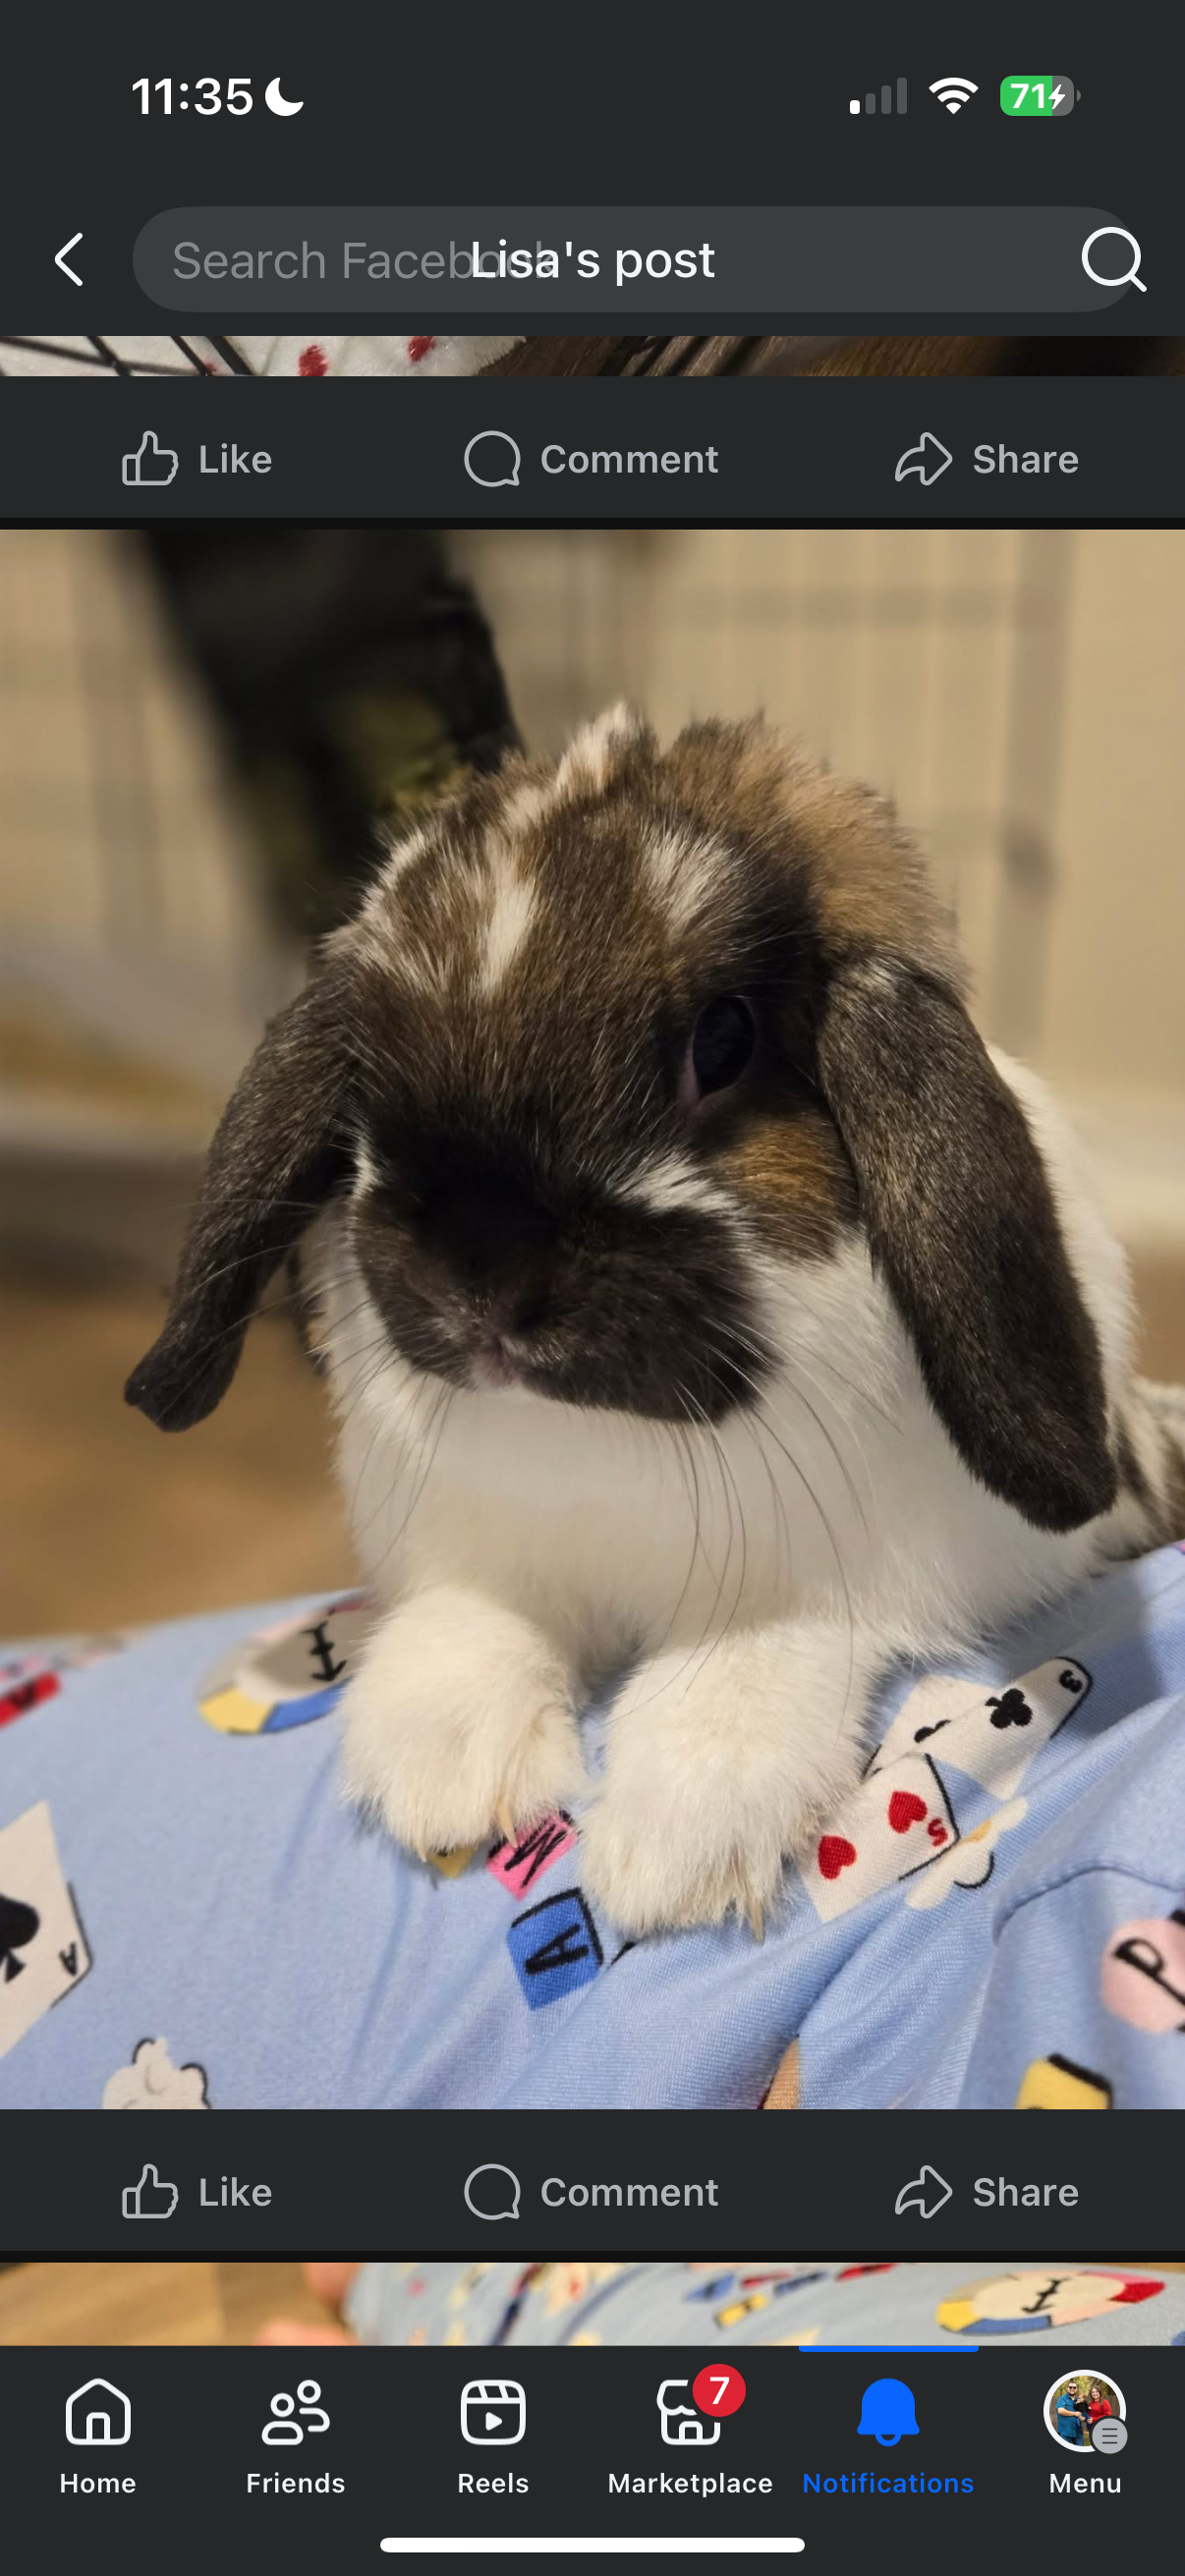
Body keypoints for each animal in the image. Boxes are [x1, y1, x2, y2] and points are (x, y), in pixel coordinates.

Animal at [126, 708, 1185, 1937]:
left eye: (720, 1044)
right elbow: (477, 1624)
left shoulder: (838, 1586)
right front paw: (445, 1767)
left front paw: (675, 1846)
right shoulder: (482, 1556)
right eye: (365, 1078)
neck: (601, 1442)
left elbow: (744, 1668)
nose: (482, 1279)